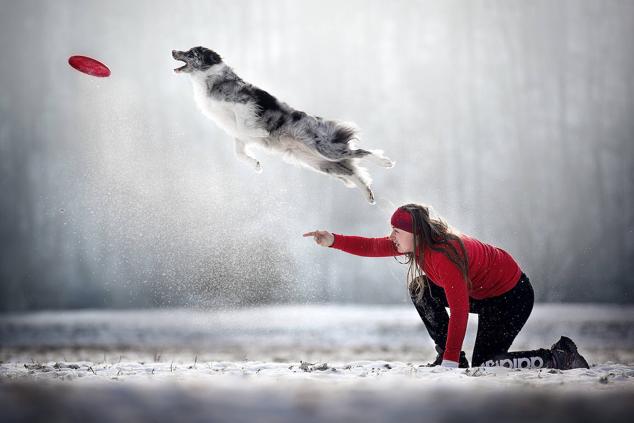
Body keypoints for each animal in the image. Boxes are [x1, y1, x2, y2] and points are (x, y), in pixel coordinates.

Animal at [170, 46, 392, 204]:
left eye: (191, 53)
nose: (172, 51)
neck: (208, 80)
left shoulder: (243, 104)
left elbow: (244, 125)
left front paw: (261, 132)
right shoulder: (238, 137)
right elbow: (239, 153)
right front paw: (256, 164)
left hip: (326, 149)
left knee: (360, 151)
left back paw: (386, 163)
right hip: (321, 164)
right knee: (353, 172)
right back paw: (368, 194)